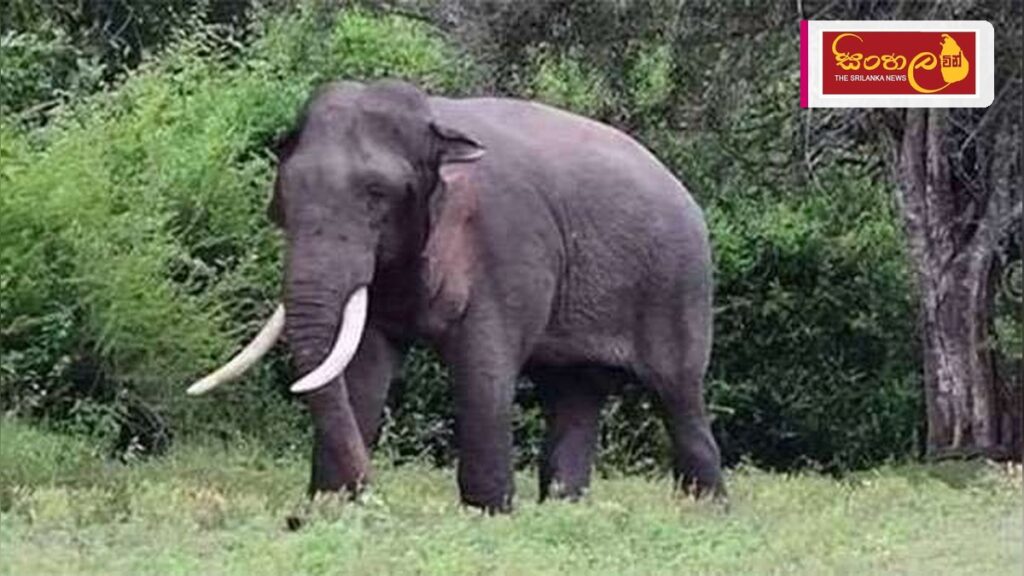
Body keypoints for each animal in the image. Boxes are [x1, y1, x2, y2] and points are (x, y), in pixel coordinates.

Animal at [188, 79, 724, 512]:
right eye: (284, 194)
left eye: (377, 194)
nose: (373, 497)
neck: (436, 123)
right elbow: (363, 366)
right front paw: (331, 508)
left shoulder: (507, 246)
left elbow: (484, 368)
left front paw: (489, 513)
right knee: (573, 392)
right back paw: (566, 508)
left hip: (679, 284)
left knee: (677, 393)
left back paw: (706, 510)